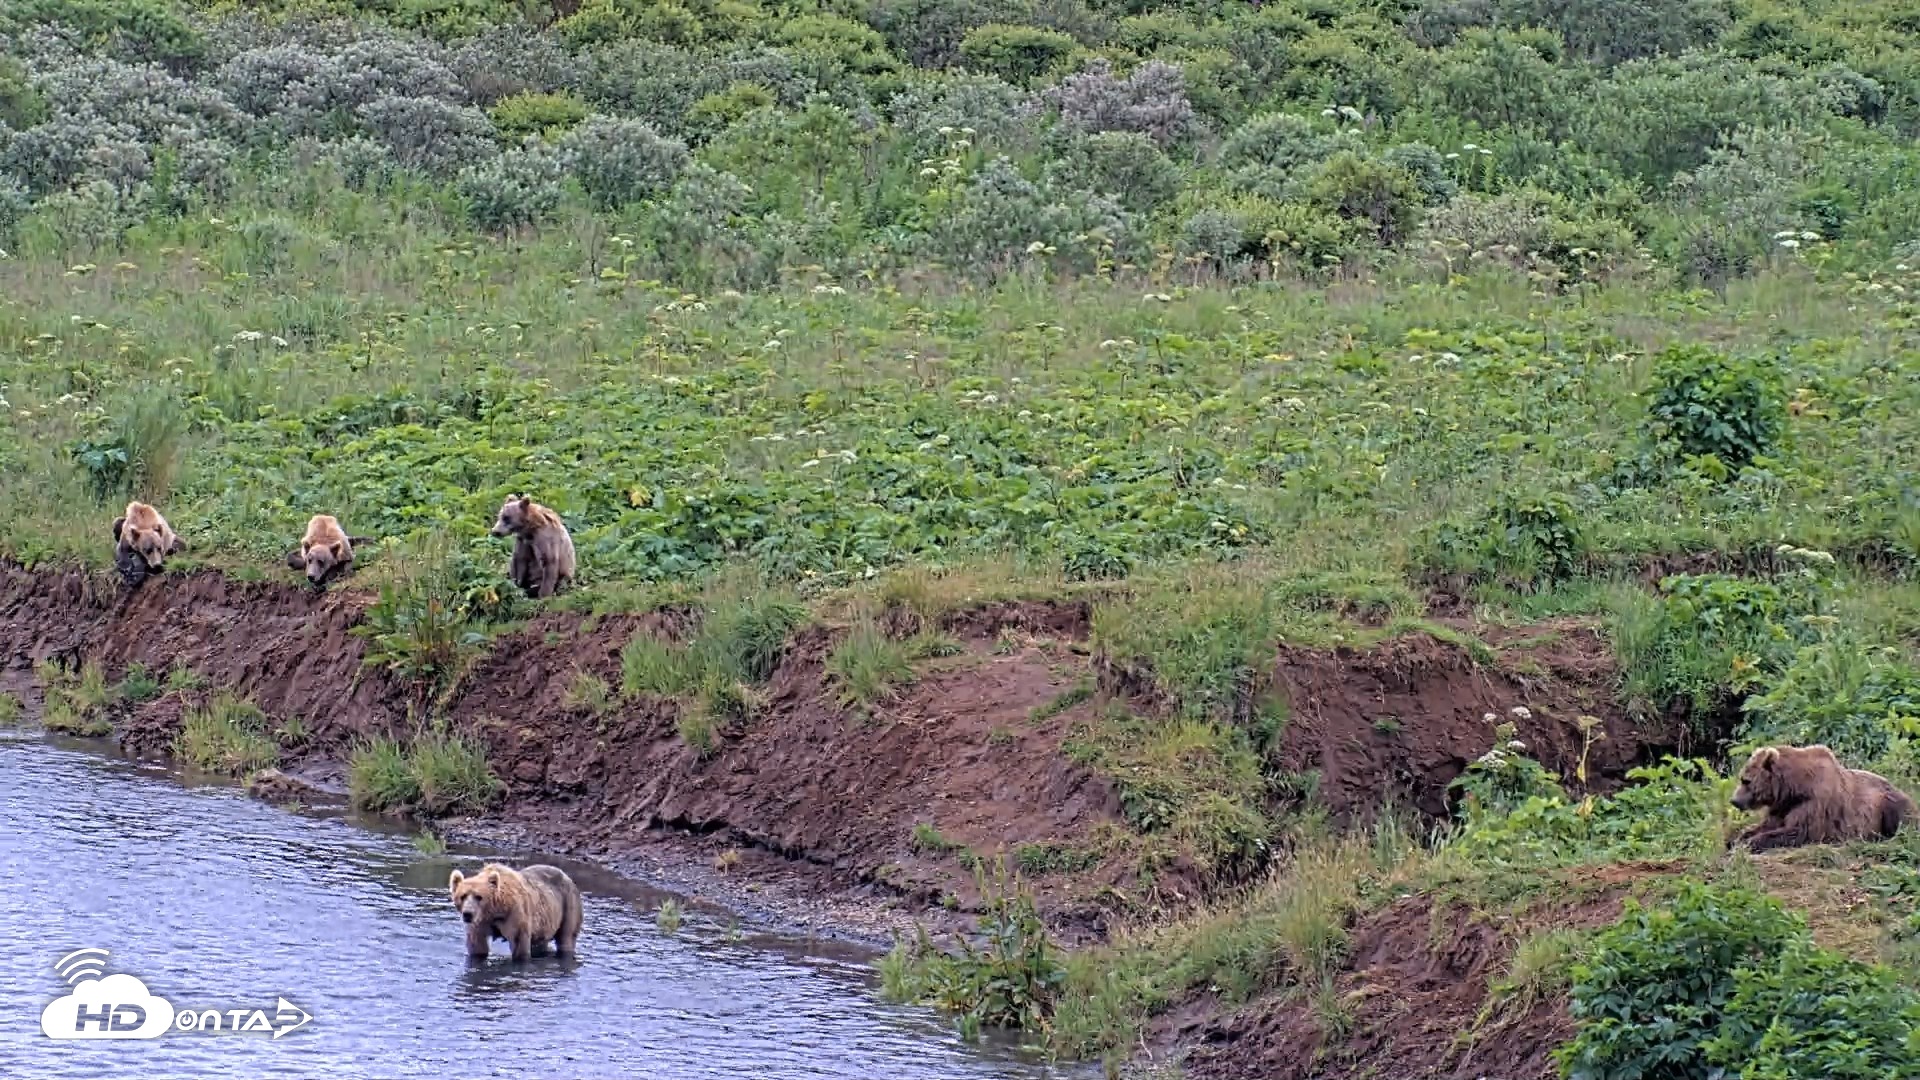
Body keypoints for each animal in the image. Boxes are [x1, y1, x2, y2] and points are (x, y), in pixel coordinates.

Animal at [448, 862, 584, 962]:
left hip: (568, 904)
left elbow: (519, 944)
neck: (496, 910)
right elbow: (477, 945)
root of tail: (567, 877)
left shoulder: (515, 915)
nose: (468, 914)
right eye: (462, 896)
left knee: (566, 937)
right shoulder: (480, 923)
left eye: (479, 897)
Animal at [1730, 743, 1916, 853]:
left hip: (1886, 802)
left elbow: (1798, 831)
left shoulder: (1815, 802)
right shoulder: (1783, 805)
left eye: (1745, 780)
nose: (1734, 800)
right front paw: (1737, 839)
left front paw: (1749, 843)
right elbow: (1768, 824)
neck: (1795, 786)